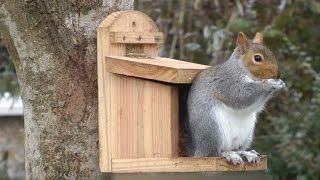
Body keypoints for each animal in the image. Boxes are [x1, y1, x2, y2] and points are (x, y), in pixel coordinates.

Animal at [186, 32, 286, 165]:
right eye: (257, 58)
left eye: (272, 53)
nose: (277, 74)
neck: (242, 70)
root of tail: (200, 149)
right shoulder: (227, 83)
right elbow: (240, 96)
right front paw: (269, 84)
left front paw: (280, 83)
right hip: (212, 128)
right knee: (215, 152)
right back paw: (228, 154)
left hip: (246, 134)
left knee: (236, 149)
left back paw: (246, 153)